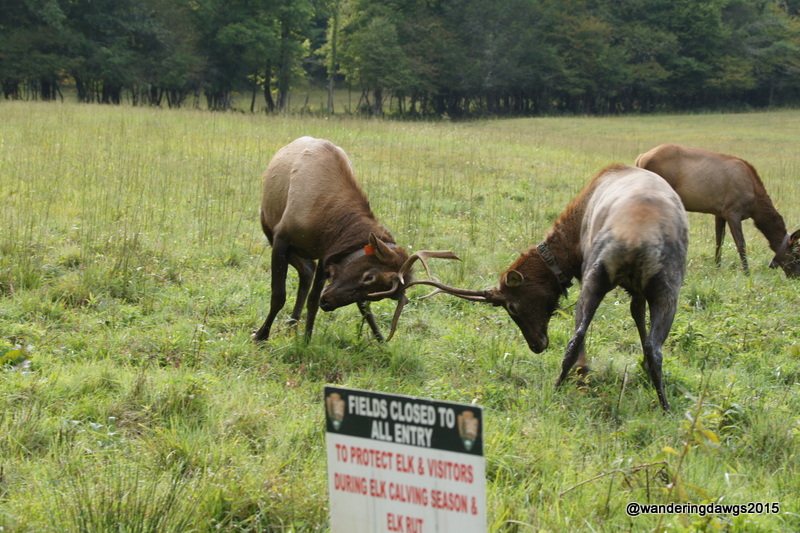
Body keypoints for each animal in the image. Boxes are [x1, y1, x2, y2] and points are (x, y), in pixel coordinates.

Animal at [254, 136, 458, 343]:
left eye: (377, 294)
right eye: (369, 277)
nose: (327, 303)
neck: (326, 220)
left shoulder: (328, 253)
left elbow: (316, 301)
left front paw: (307, 340)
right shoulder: (282, 238)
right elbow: (278, 295)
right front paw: (261, 335)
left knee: (307, 271)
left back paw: (293, 324)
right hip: (268, 227)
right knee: (304, 271)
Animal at [409, 165, 689, 411]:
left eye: (512, 305)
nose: (536, 346)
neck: (571, 247)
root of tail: (635, 241)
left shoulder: (631, 288)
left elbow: (638, 319)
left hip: (639, 283)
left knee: (640, 345)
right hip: (629, 280)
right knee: (598, 339)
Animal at [635, 143, 800, 278]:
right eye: (797, 254)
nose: (796, 276)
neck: (754, 204)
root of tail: (641, 158)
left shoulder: (719, 213)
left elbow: (719, 240)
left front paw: (717, 267)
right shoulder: (732, 210)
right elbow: (741, 243)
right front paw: (746, 272)